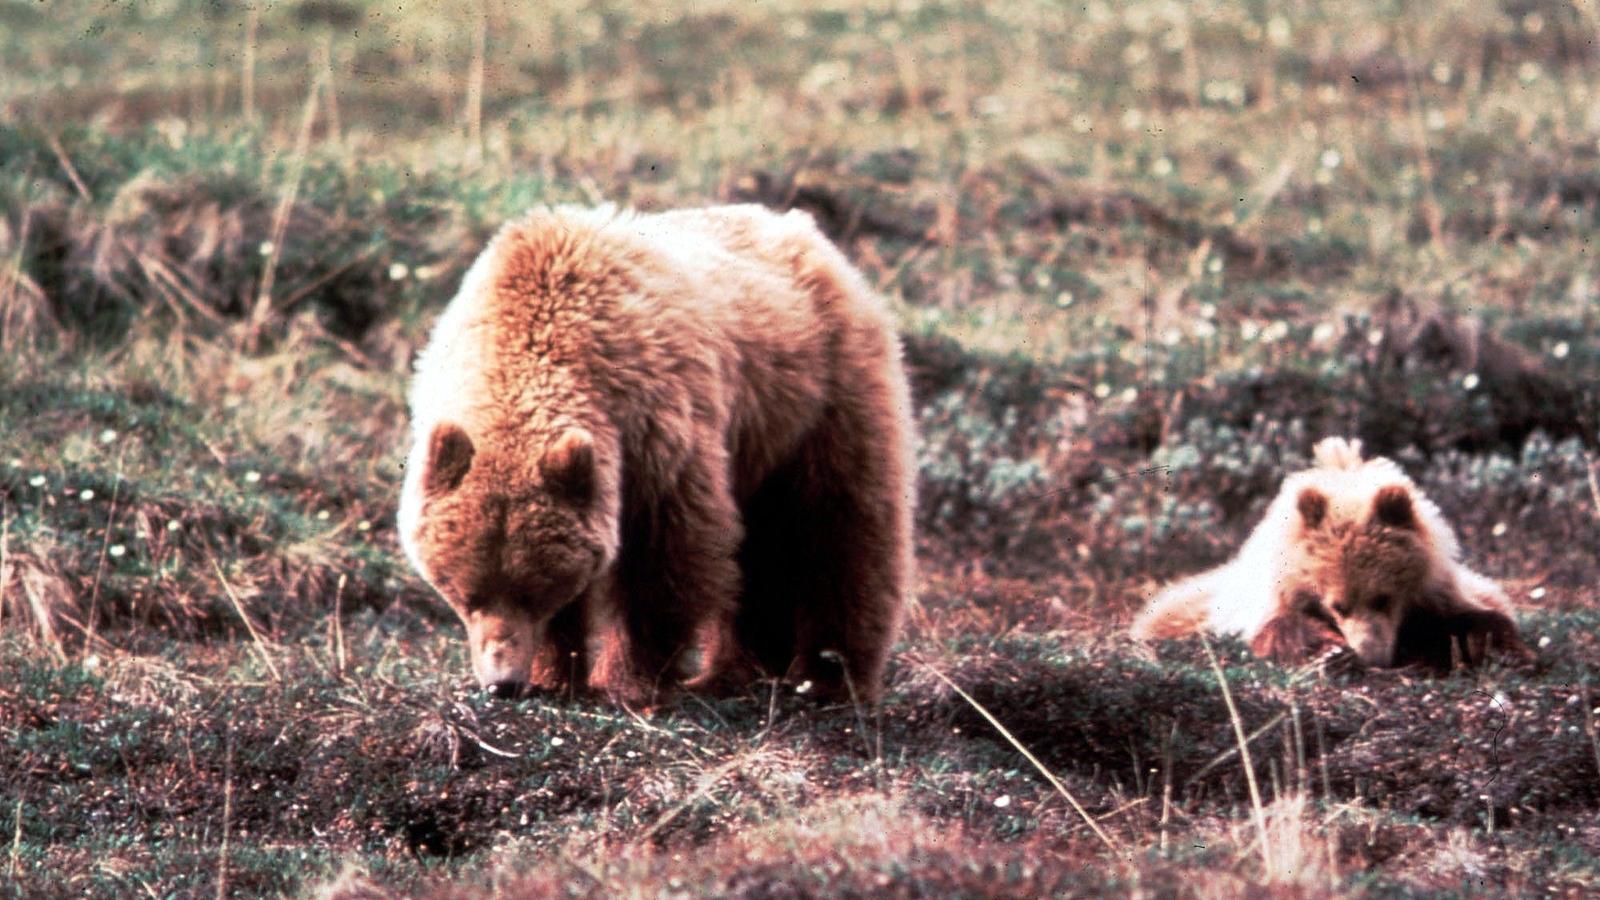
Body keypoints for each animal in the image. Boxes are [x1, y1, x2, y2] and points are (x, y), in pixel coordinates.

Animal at [396, 203, 915, 701]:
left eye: (532, 592)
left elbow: (665, 556)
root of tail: (806, 232)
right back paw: (741, 670)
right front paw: (555, 673)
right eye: (466, 594)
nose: (502, 682)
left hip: (821, 394)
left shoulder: (654, 428)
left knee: (841, 529)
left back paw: (826, 677)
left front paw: (629, 679)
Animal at [1132, 435, 1529, 666]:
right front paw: (1331, 649)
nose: (1373, 655)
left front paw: (1497, 646)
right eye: (1338, 605)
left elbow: (1475, 616)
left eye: (1383, 597)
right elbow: (1278, 628)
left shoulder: (1437, 591)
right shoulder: (1266, 602)